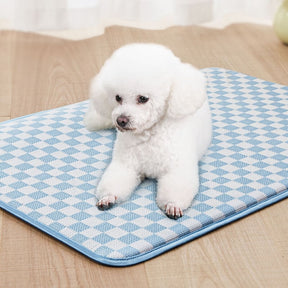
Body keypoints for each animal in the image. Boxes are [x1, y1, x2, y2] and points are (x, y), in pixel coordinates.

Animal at [83, 42, 212, 219]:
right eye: (117, 98)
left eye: (143, 98)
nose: (121, 120)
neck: (149, 134)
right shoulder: (125, 165)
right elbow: (115, 181)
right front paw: (108, 197)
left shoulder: (177, 167)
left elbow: (176, 187)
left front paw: (173, 205)